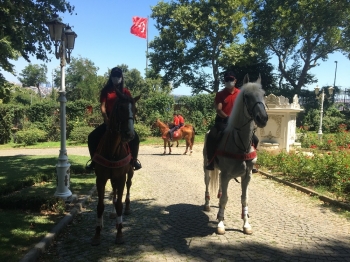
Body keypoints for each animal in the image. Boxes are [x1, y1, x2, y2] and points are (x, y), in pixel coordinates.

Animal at [91, 90, 137, 246]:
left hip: (129, 172)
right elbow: (100, 206)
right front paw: (97, 234)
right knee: (114, 191)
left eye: (135, 110)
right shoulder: (100, 178)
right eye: (121, 108)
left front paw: (119, 234)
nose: (129, 134)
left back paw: (127, 208)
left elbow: (119, 206)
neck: (112, 150)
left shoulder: (121, 177)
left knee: (128, 186)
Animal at [202, 73, 268, 235]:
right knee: (207, 182)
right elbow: (225, 199)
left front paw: (246, 224)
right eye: (246, 96)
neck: (240, 145)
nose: (262, 118)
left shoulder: (247, 176)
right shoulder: (226, 175)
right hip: (206, 166)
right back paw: (207, 204)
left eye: (263, 94)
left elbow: (244, 199)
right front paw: (220, 224)